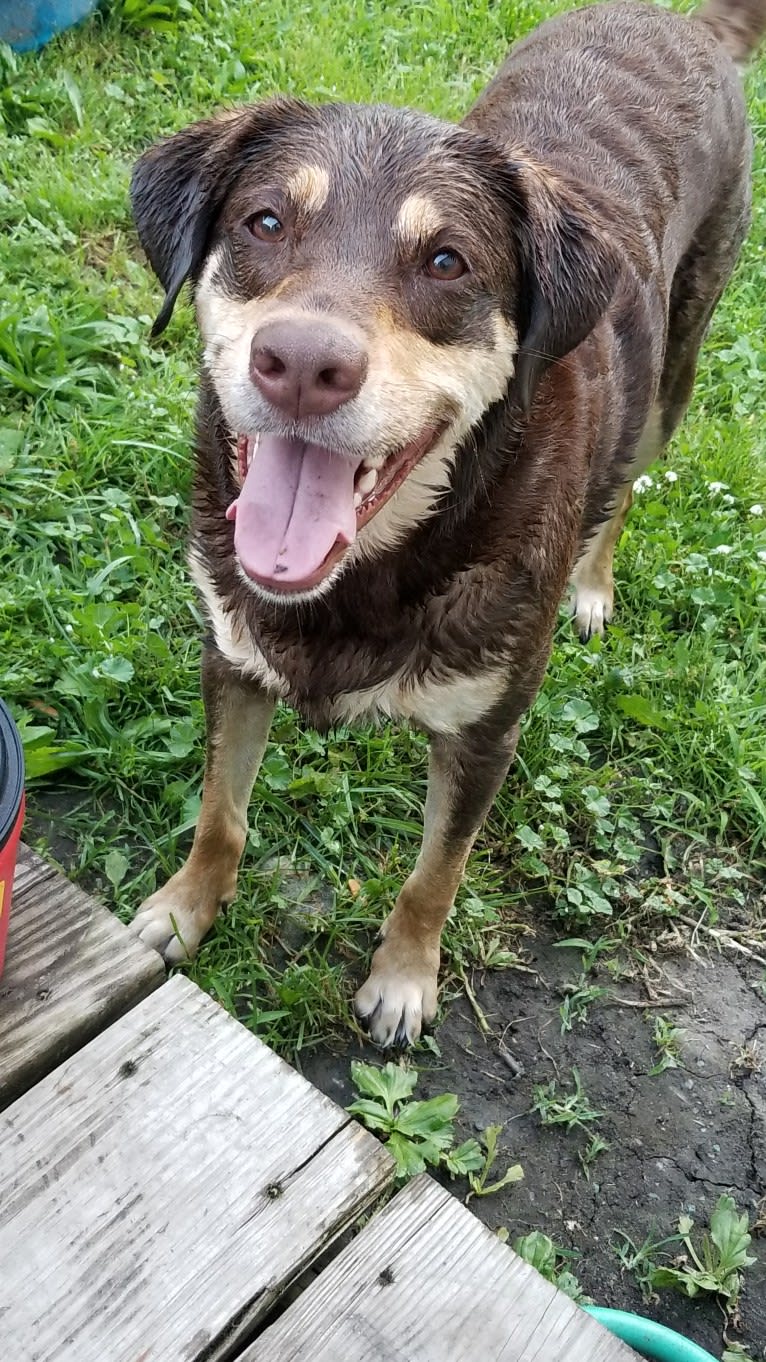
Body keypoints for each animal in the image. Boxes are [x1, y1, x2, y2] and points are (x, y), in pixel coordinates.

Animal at [129, 0, 763, 1046]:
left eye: (446, 261)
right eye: (265, 221)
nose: (301, 365)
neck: (378, 568)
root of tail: (684, 22)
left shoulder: (486, 730)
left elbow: (437, 872)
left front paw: (403, 979)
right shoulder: (232, 657)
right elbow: (221, 809)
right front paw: (184, 909)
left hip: (677, 366)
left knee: (630, 484)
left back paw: (593, 587)